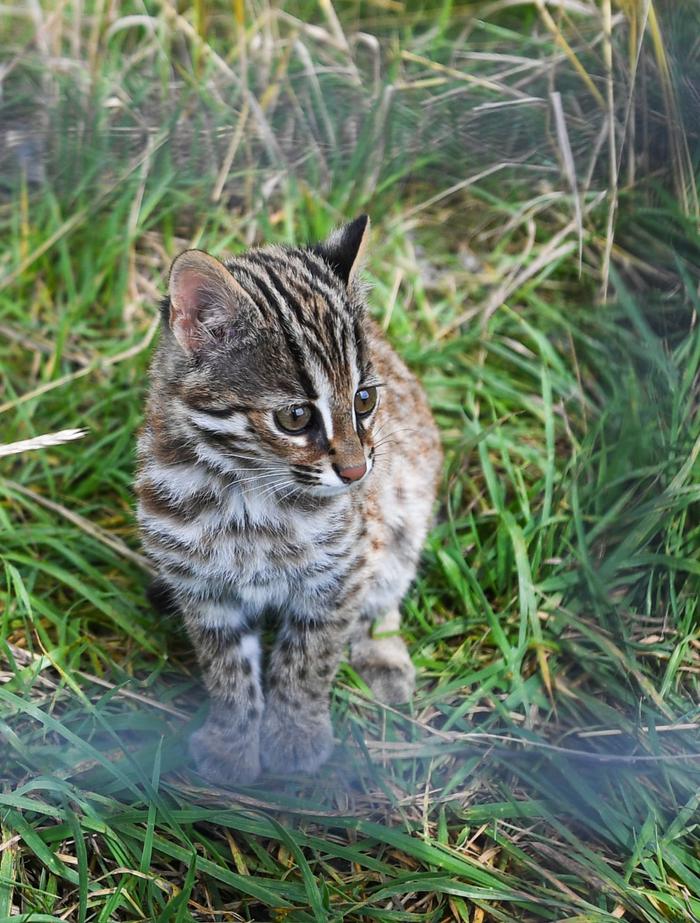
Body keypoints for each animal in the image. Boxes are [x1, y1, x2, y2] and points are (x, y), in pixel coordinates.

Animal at [135, 215, 442, 780]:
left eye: (364, 400)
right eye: (295, 417)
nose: (357, 471)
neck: (245, 489)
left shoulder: (341, 573)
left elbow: (309, 659)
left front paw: (295, 737)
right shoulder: (204, 588)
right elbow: (226, 668)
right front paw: (232, 742)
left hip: (406, 509)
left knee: (390, 582)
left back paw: (383, 656)